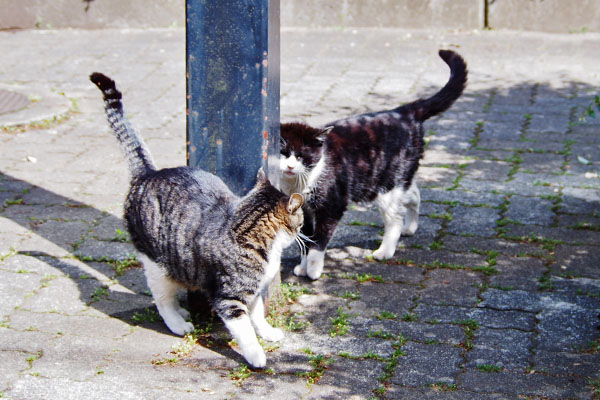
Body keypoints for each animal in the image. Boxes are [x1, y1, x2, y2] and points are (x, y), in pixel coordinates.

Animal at [89, 72, 304, 368]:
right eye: (301, 220)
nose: (303, 231)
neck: (246, 228)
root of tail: (148, 173)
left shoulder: (254, 291)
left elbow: (258, 315)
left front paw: (269, 333)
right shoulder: (229, 299)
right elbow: (245, 330)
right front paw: (257, 355)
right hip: (157, 264)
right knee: (161, 298)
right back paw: (178, 322)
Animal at [278, 50, 466, 280]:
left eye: (302, 156)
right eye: (283, 153)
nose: (290, 167)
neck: (301, 181)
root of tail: (405, 112)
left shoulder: (333, 205)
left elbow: (318, 240)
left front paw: (313, 269)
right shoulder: (302, 209)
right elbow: (305, 241)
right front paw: (302, 266)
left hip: (386, 188)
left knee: (394, 219)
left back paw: (385, 251)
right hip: (391, 179)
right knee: (413, 193)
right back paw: (410, 227)